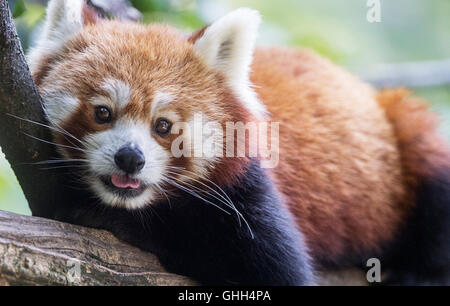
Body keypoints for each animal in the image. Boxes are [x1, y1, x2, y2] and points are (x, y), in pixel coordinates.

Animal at [27, 0, 450, 286]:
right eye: (102, 112)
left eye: (163, 125)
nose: (130, 158)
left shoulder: (249, 191)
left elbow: (270, 268)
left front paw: (111, 219)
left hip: (408, 133)